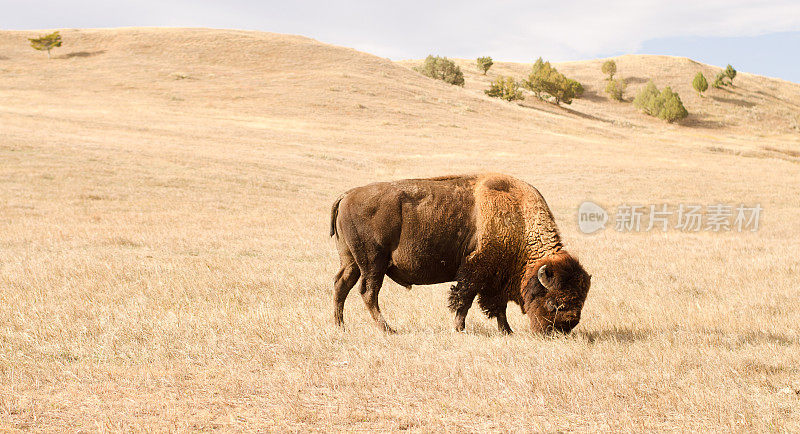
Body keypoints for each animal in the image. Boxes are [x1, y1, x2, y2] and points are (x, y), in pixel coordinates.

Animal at [328, 174, 592, 336]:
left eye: (580, 301)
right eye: (555, 303)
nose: (560, 331)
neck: (519, 217)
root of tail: (346, 195)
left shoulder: (497, 279)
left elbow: (498, 307)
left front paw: (507, 330)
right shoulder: (476, 271)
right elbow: (465, 299)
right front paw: (460, 328)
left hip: (351, 261)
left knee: (342, 286)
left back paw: (340, 326)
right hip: (373, 264)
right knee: (368, 292)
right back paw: (387, 329)